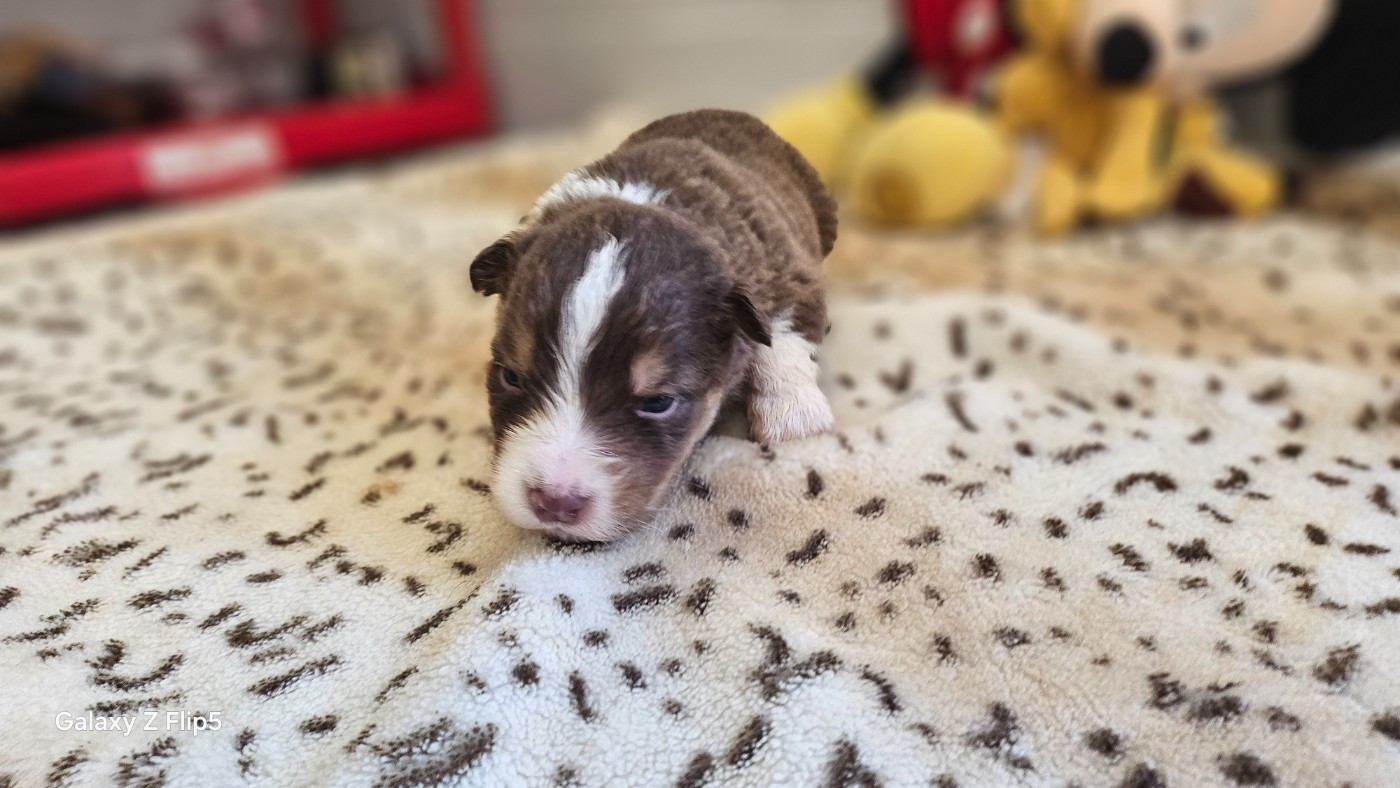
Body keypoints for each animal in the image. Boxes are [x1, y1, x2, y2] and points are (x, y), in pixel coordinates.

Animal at [469, 109, 838, 542]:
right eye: (511, 376)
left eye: (658, 402)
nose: (554, 503)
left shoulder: (789, 274)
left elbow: (785, 337)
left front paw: (794, 420)